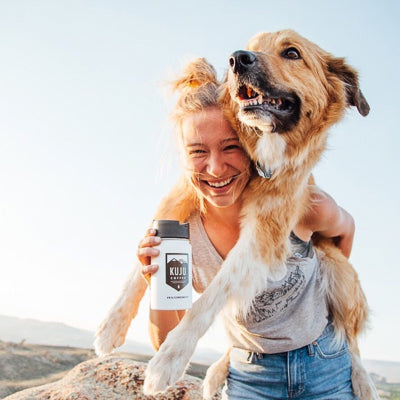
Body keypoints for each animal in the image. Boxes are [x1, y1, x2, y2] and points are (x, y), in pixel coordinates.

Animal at [94, 29, 378, 398]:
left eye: (292, 53)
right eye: (252, 46)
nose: (237, 59)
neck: (259, 161)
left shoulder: (263, 237)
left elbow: (211, 296)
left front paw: (169, 358)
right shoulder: (181, 196)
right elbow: (136, 269)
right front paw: (111, 327)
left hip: (337, 268)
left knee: (351, 340)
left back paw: (363, 379)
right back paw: (217, 370)